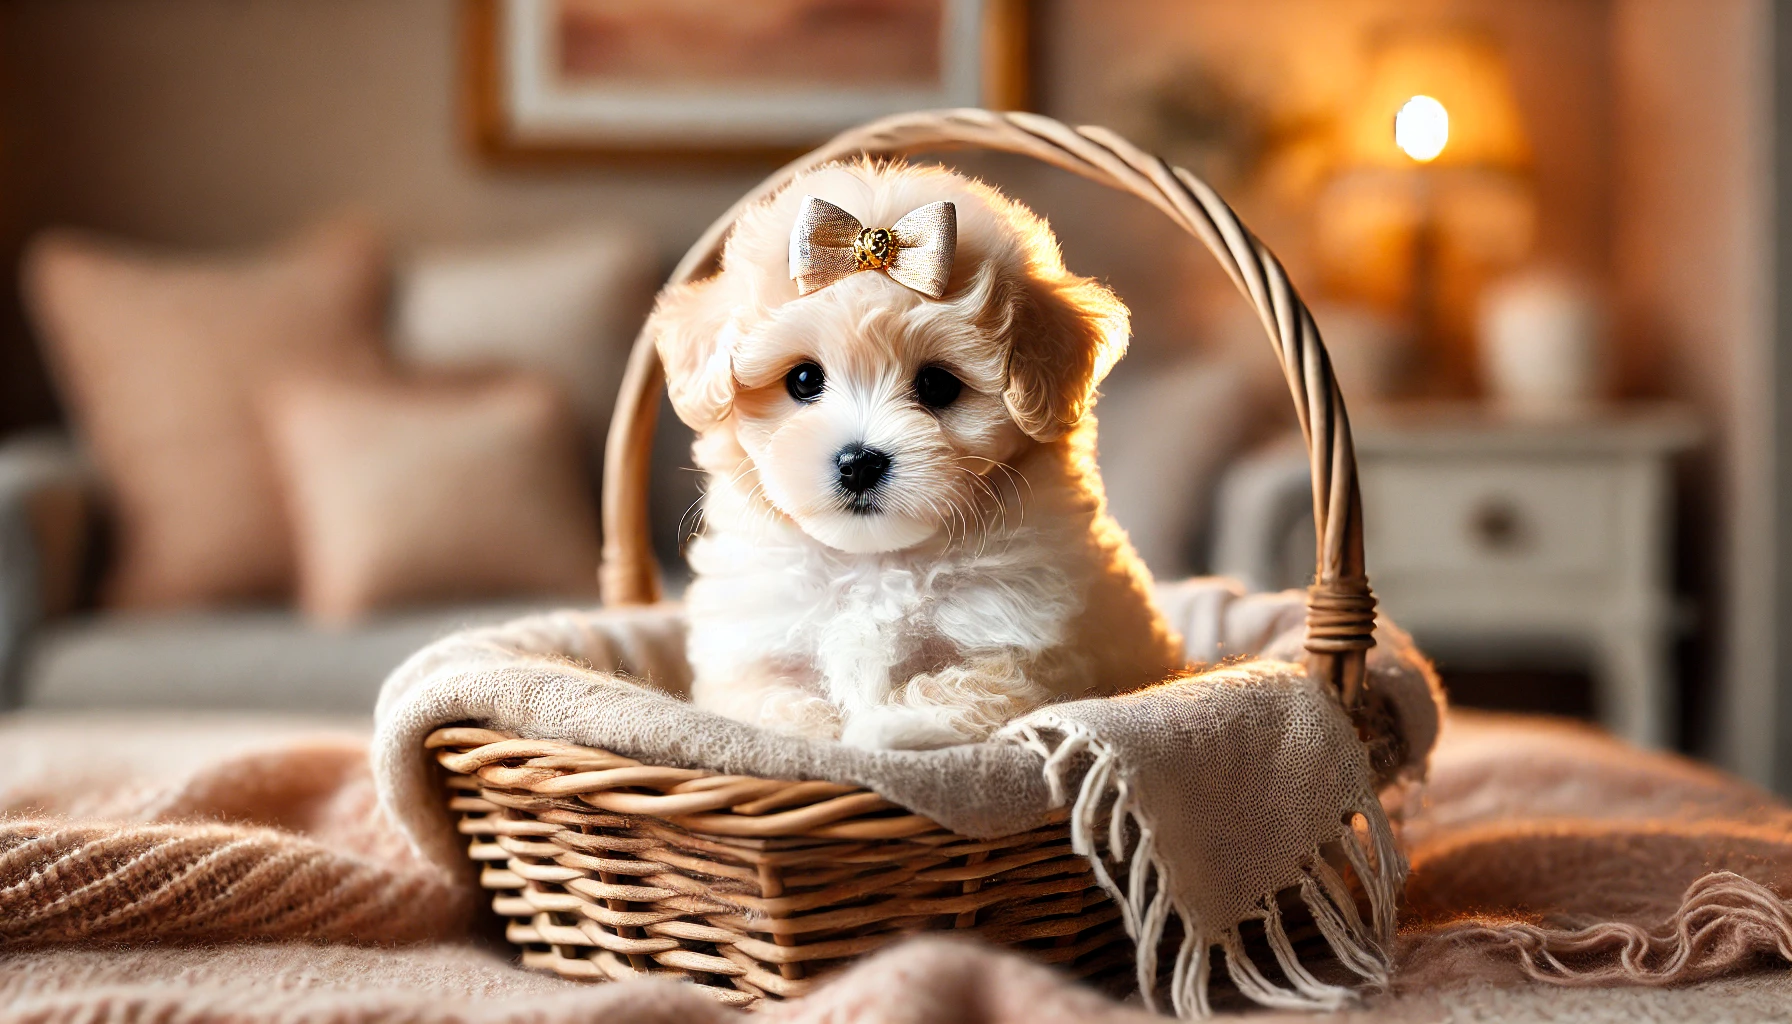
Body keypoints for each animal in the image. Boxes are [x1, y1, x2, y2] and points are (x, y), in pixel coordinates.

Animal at [648, 162, 1189, 753]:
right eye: (804, 379)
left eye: (936, 384)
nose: (859, 462)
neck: (874, 562)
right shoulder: (752, 648)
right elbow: (765, 701)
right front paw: (811, 735)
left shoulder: (1021, 644)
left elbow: (970, 684)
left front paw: (885, 728)